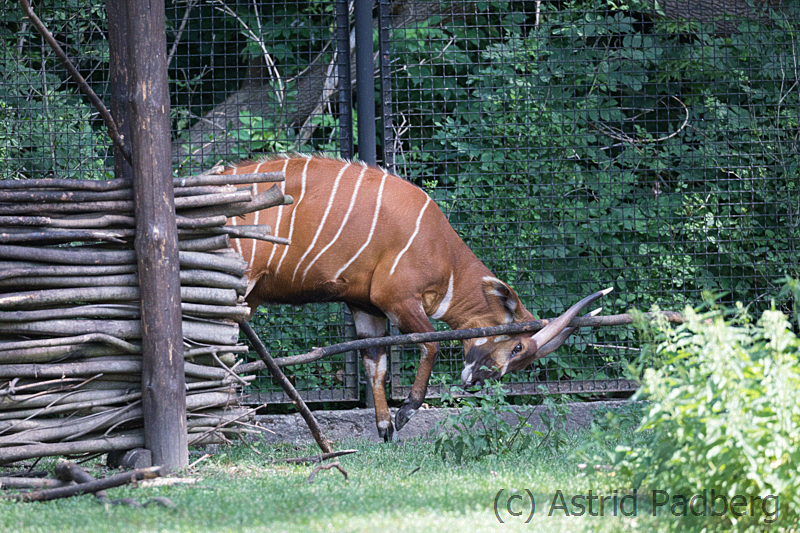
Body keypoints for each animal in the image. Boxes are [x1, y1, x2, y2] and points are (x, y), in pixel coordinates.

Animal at [224, 155, 610, 441]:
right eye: (517, 347)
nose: (476, 382)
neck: (442, 251)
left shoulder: (365, 307)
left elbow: (375, 364)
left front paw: (384, 428)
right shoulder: (396, 300)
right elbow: (431, 343)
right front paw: (405, 412)